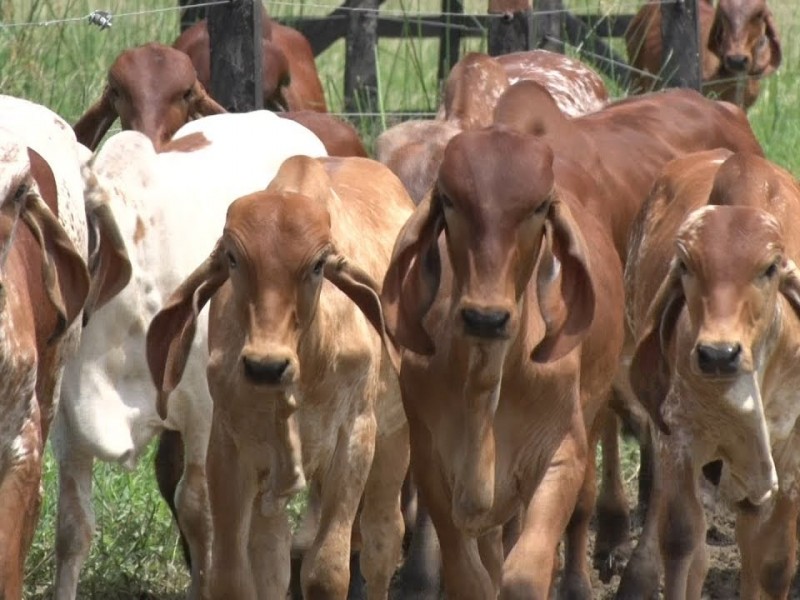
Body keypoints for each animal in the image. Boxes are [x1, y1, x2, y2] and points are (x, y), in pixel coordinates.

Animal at [148, 156, 416, 600]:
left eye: (318, 265)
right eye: (233, 259)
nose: (265, 366)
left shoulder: (355, 440)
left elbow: (326, 573)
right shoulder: (230, 446)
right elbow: (234, 577)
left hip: (394, 439)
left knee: (383, 540)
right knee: (272, 557)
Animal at [382, 129, 624, 596]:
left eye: (538, 207)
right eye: (450, 200)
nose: (486, 318)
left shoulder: (560, 456)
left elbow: (525, 574)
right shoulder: (432, 464)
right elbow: (471, 577)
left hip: (594, 417)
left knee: (581, 510)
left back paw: (577, 582)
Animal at [624, 148, 800, 596]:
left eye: (769, 268)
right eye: (686, 265)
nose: (718, 355)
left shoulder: (791, 457)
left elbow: (774, 563)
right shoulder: (679, 442)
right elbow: (681, 541)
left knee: (750, 541)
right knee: (702, 549)